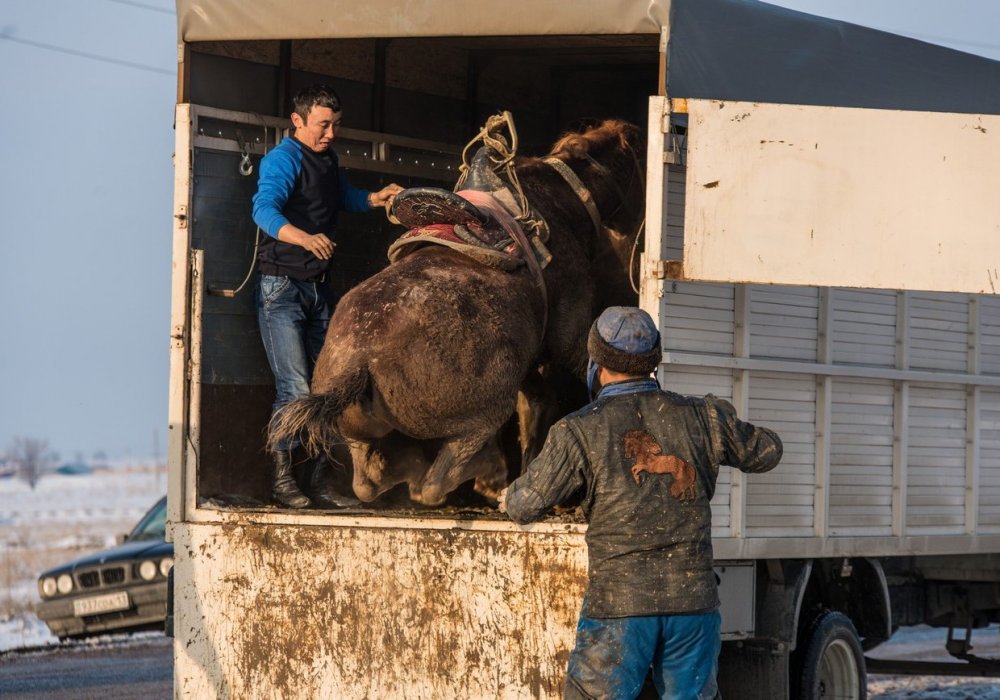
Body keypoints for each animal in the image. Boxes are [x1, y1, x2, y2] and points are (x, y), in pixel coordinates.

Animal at [266, 117, 644, 506]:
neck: (563, 205)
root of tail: (358, 361)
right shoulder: (569, 334)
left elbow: (535, 407)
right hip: (481, 416)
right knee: (437, 481)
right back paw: (487, 476)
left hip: (357, 432)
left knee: (367, 483)